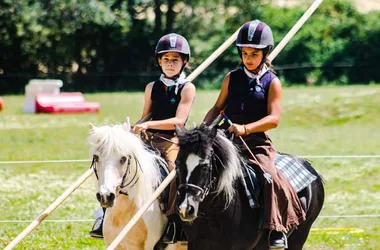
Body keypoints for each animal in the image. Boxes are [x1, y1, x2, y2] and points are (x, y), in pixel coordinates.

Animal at [174, 125, 326, 250]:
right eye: (178, 163)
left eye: (205, 166)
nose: (185, 209)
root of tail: (311, 168)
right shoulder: (196, 243)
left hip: (300, 237)